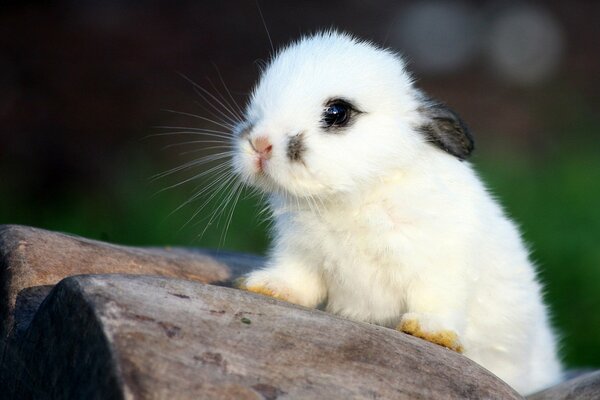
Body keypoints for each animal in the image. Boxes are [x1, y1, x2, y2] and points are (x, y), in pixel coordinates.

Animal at [231, 30, 564, 394]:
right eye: (258, 102)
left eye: (337, 112)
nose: (260, 144)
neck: (354, 196)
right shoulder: (301, 254)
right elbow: (298, 281)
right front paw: (266, 286)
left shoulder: (441, 265)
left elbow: (437, 300)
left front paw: (429, 331)